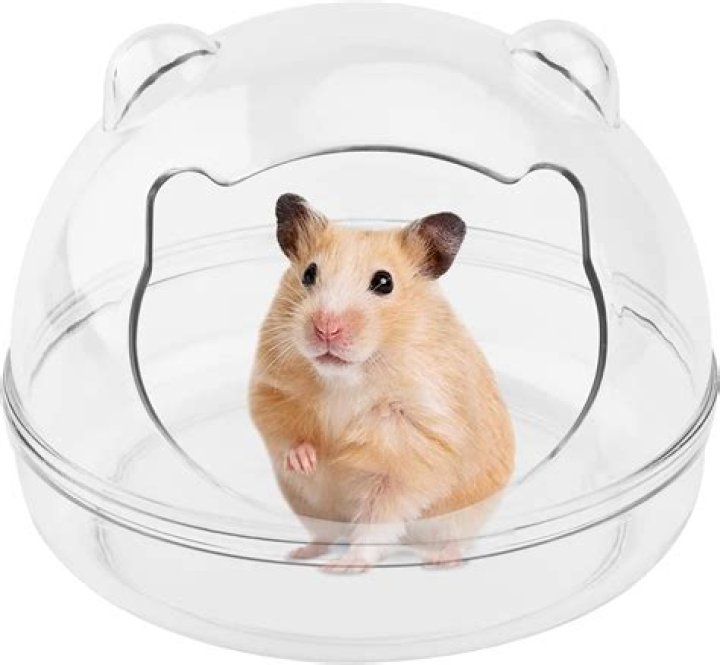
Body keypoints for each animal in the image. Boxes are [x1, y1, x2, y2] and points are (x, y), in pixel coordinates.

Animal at [249, 194, 514, 572]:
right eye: (309, 273)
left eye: (384, 282)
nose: (326, 328)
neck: (347, 377)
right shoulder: (269, 388)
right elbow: (282, 429)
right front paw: (308, 460)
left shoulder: (414, 448)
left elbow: (379, 516)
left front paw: (346, 566)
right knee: (324, 534)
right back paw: (301, 553)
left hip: (464, 514)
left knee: (453, 539)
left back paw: (441, 561)